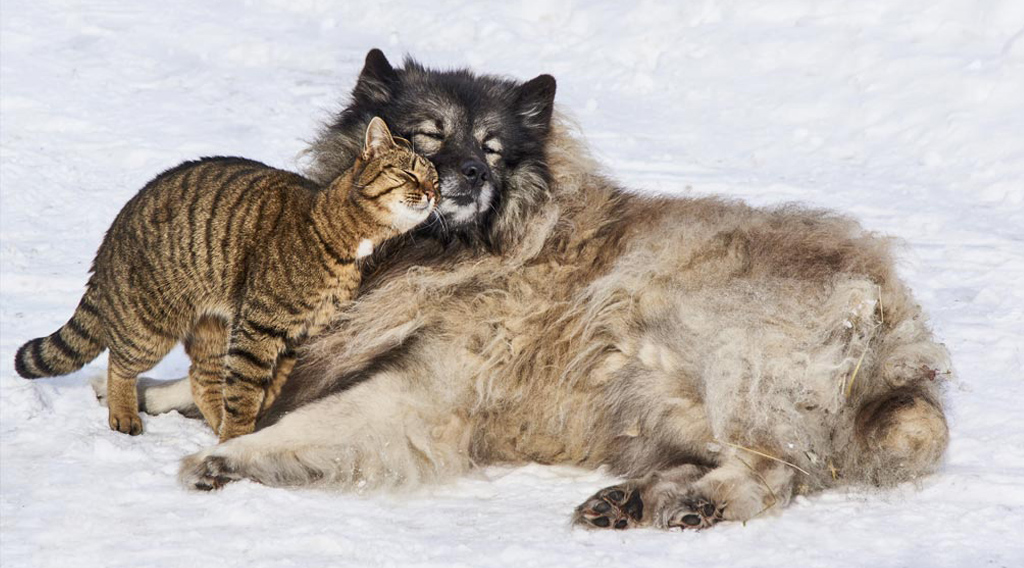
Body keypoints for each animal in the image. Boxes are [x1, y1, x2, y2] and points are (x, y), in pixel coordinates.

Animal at [14, 117, 440, 442]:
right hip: (150, 326)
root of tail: (110, 237)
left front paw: (242, 429)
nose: (433, 194)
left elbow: (264, 388)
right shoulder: (258, 328)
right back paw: (125, 414)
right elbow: (245, 390)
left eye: (435, 181)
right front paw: (235, 437)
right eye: (408, 173)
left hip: (213, 328)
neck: (344, 238)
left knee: (200, 377)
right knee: (120, 364)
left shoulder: (295, 338)